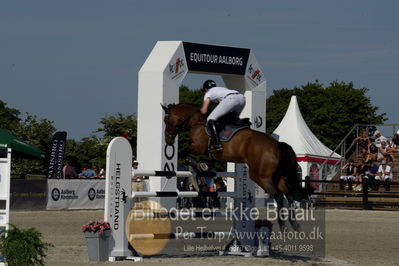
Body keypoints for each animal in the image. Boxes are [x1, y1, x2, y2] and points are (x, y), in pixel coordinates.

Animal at [161, 103, 310, 230]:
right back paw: (294, 224)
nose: (168, 140)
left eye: (166, 120)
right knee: (288, 193)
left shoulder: (198, 147)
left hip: (260, 176)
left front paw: (196, 164)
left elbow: (185, 153)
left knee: (278, 195)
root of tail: (277, 145)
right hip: (277, 176)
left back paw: (283, 226)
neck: (197, 121)